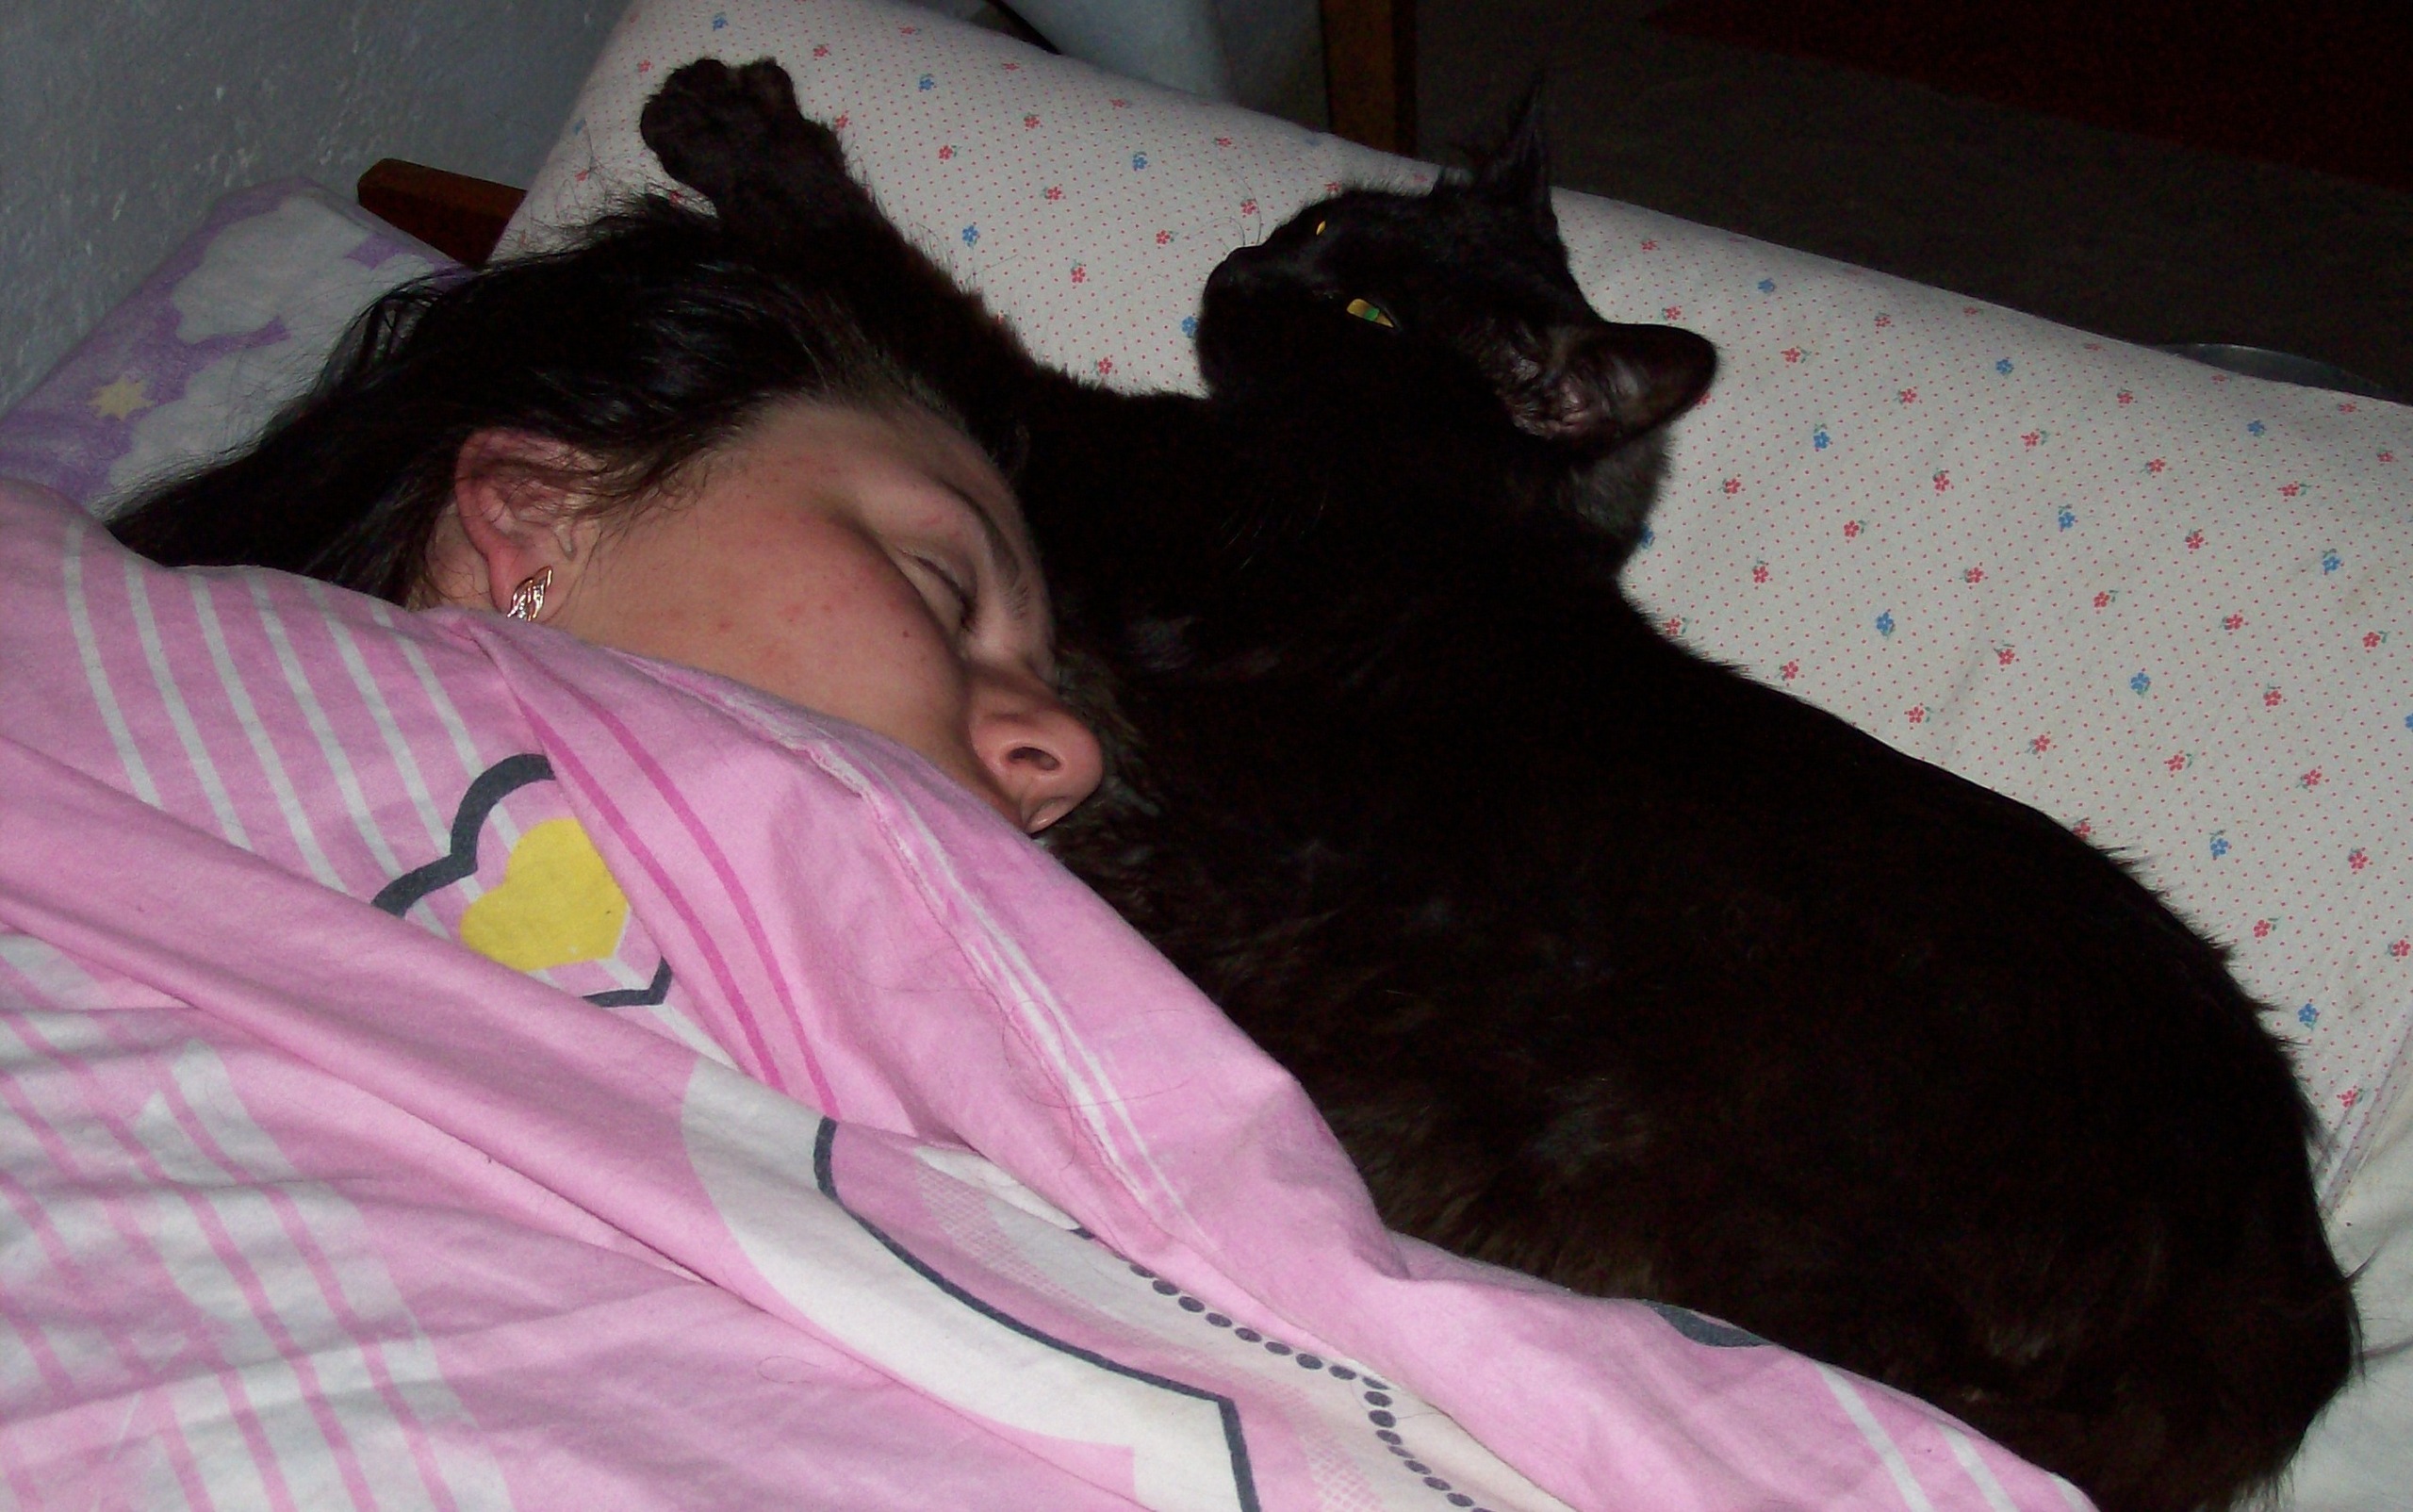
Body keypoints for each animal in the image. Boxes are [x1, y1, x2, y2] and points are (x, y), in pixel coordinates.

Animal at [640, 59, 2354, 1512]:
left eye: (1365, 306)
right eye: (1322, 225)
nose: (1243, 267)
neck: (1448, 500)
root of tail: (2286, 1295)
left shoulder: (1080, 464)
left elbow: (921, 301)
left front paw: (740, 136)